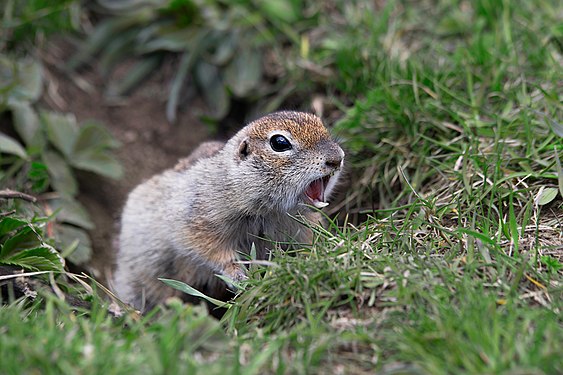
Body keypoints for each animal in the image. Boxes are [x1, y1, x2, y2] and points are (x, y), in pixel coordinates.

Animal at [114, 111, 344, 312]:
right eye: (279, 143)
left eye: (320, 123)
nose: (337, 158)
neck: (269, 211)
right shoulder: (199, 219)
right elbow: (213, 251)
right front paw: (239, 276)